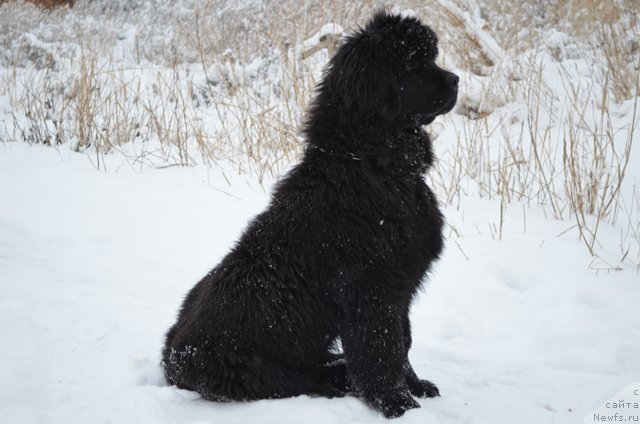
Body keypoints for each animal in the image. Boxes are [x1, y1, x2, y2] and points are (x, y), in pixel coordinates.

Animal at [162, 9, 458, 418]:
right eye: (413, 64)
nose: (456, 80)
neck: (372, 164)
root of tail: (170, 350)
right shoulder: (372, 292)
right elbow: (384, 349)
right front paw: (396, 403)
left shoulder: (399, 289)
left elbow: (403, 341)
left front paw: (415, 387)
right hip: (248, 369)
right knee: (300, 379)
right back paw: (338, 380)